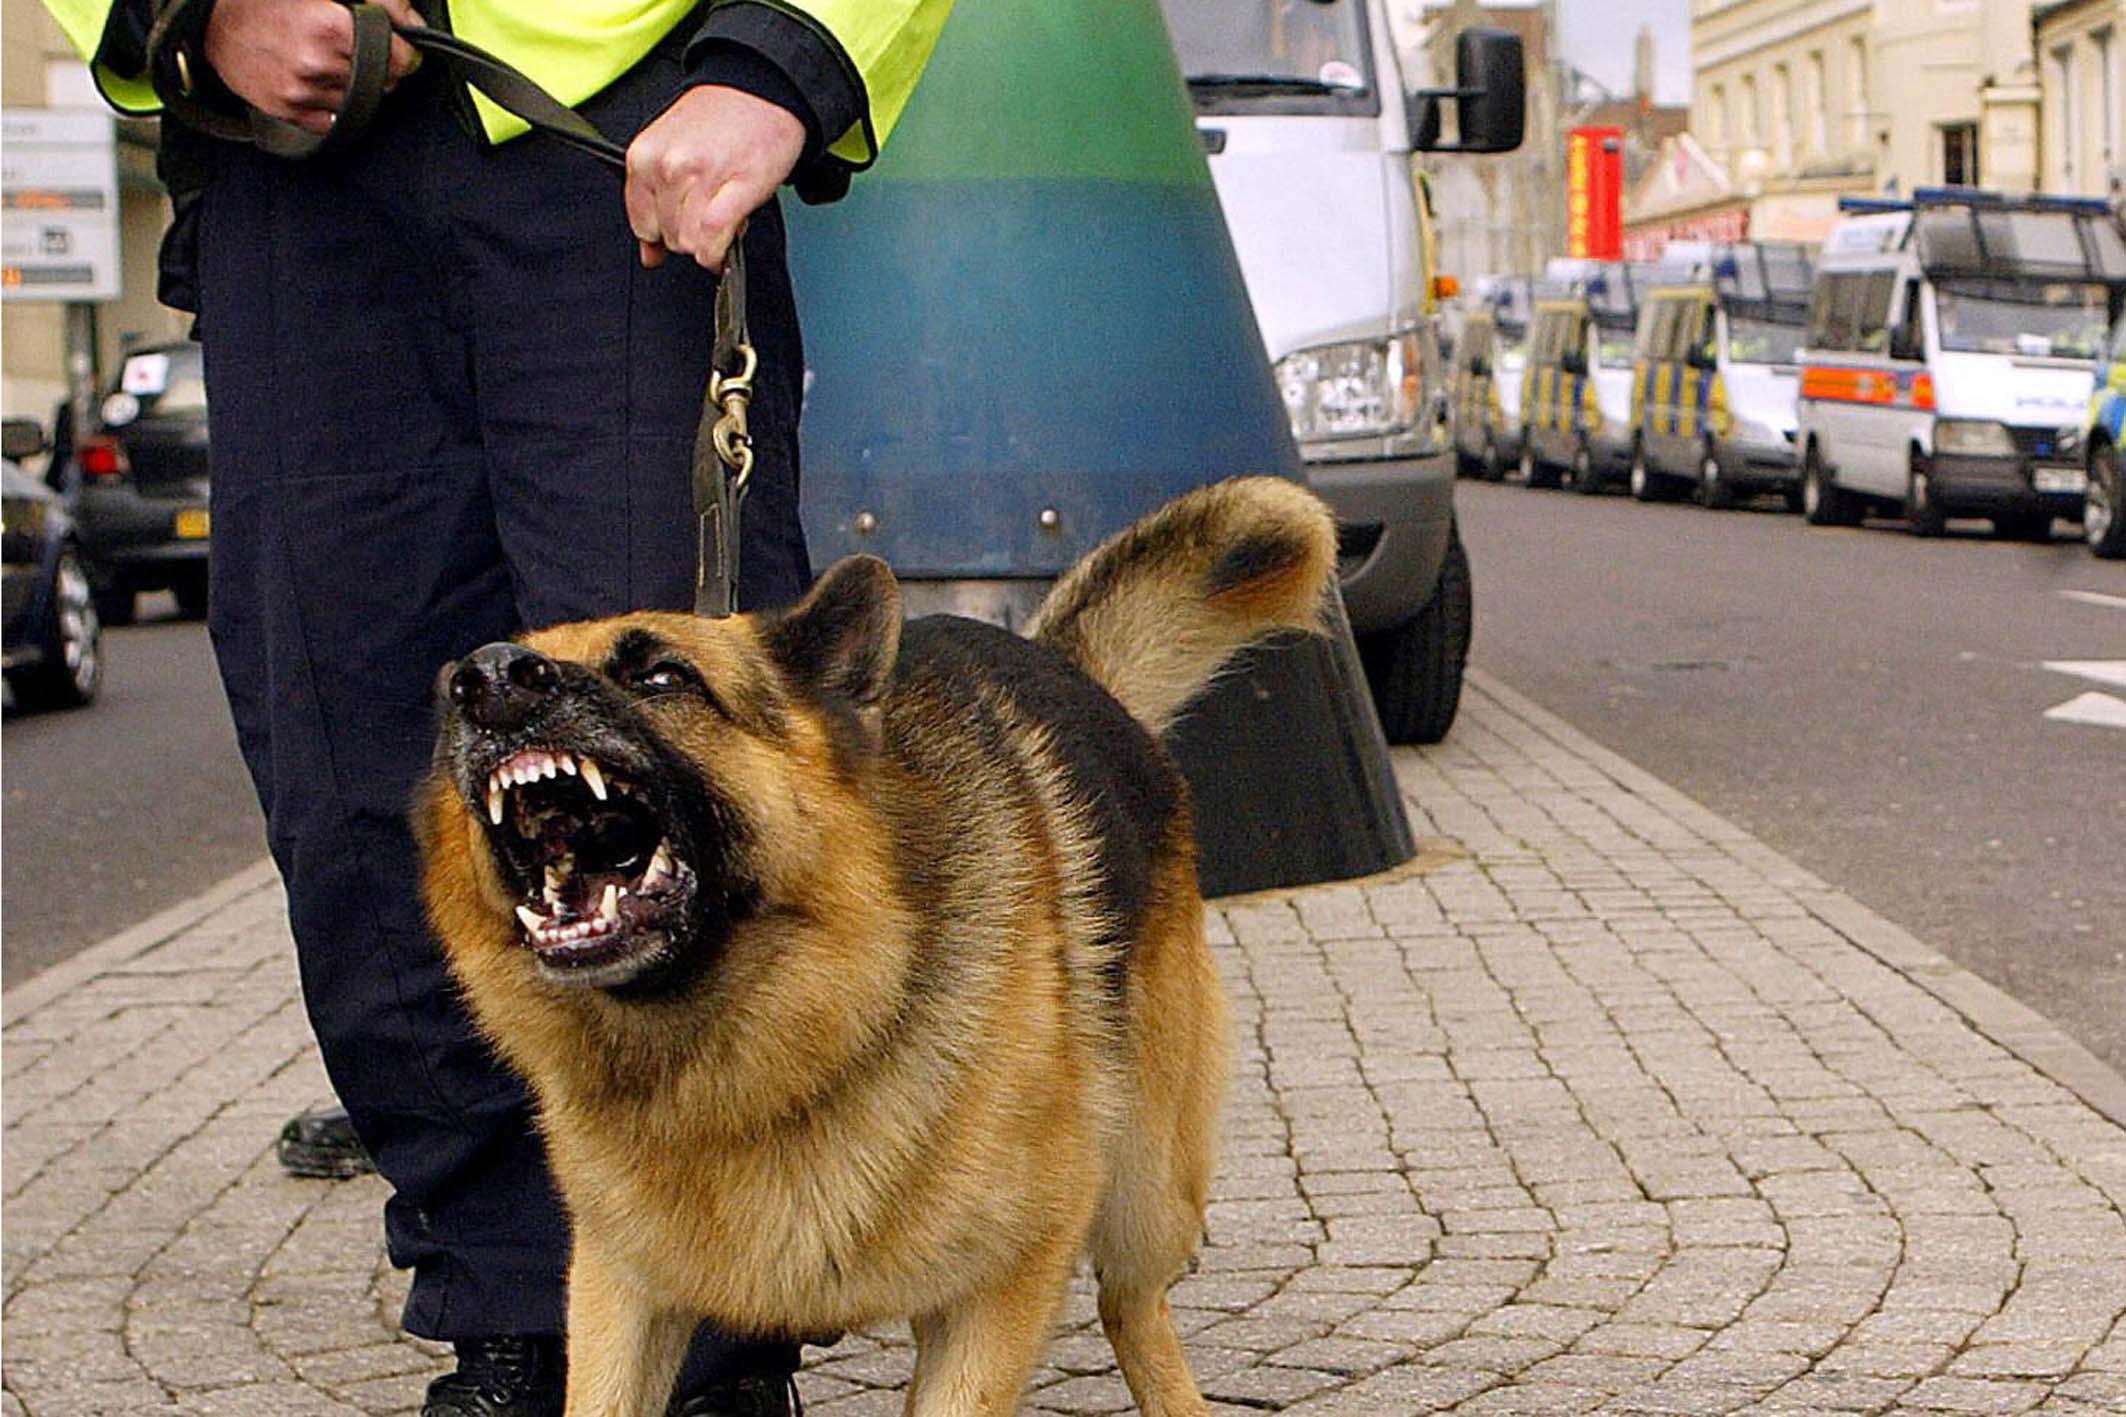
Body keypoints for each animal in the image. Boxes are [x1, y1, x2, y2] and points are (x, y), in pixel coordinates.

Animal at [418, 482, 1326, 1410]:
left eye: (663, 677)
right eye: (459, 688)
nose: (486, 678)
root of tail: (1070, 671)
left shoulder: (999, 1289)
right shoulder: (623, 1286)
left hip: (1147, 1189)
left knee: (1132, 1304)